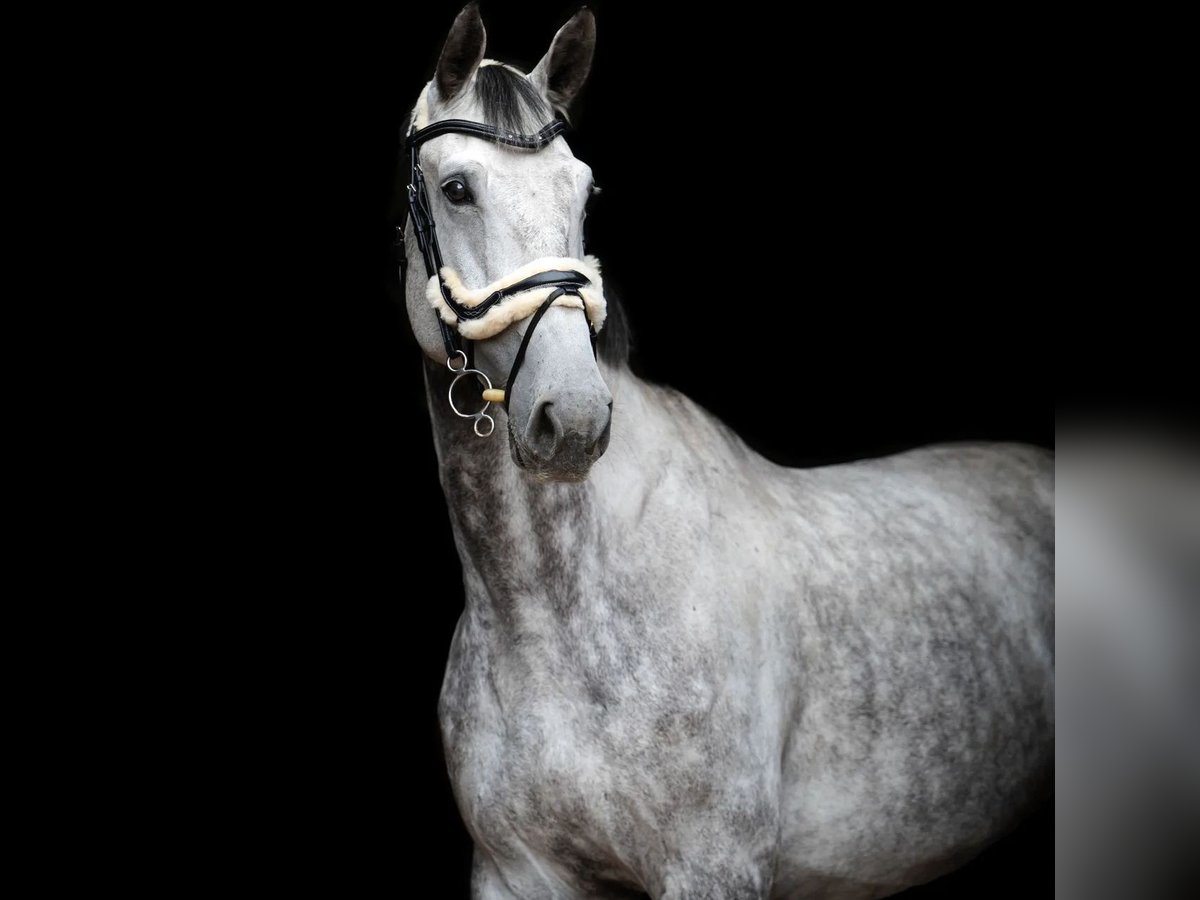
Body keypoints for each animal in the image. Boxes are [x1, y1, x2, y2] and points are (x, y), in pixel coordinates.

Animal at [400, 8, 1051, 900]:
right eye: (457, 188)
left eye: (584, 189)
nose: (573, 418)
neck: (552, 616)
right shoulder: (514, 872)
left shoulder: (712, 868)